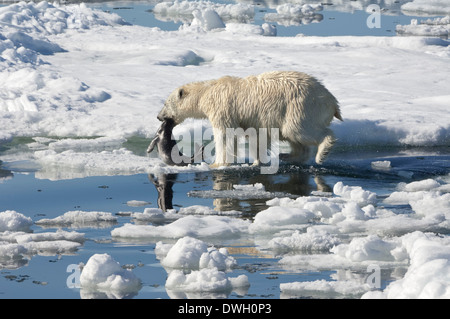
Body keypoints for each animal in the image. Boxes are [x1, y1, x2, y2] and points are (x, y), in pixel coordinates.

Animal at [157, 70, 342, 168]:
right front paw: (256, 162)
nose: (159, 116)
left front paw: (216, 164)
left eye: (165, 103)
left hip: (300, 107)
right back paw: (287, 156)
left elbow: (224, 135)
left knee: (299, 130)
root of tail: (332, 101)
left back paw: (322, 153)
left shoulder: (222, 108)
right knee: (292, 136)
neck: (206, 93)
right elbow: (257, 138)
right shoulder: (252, 119)